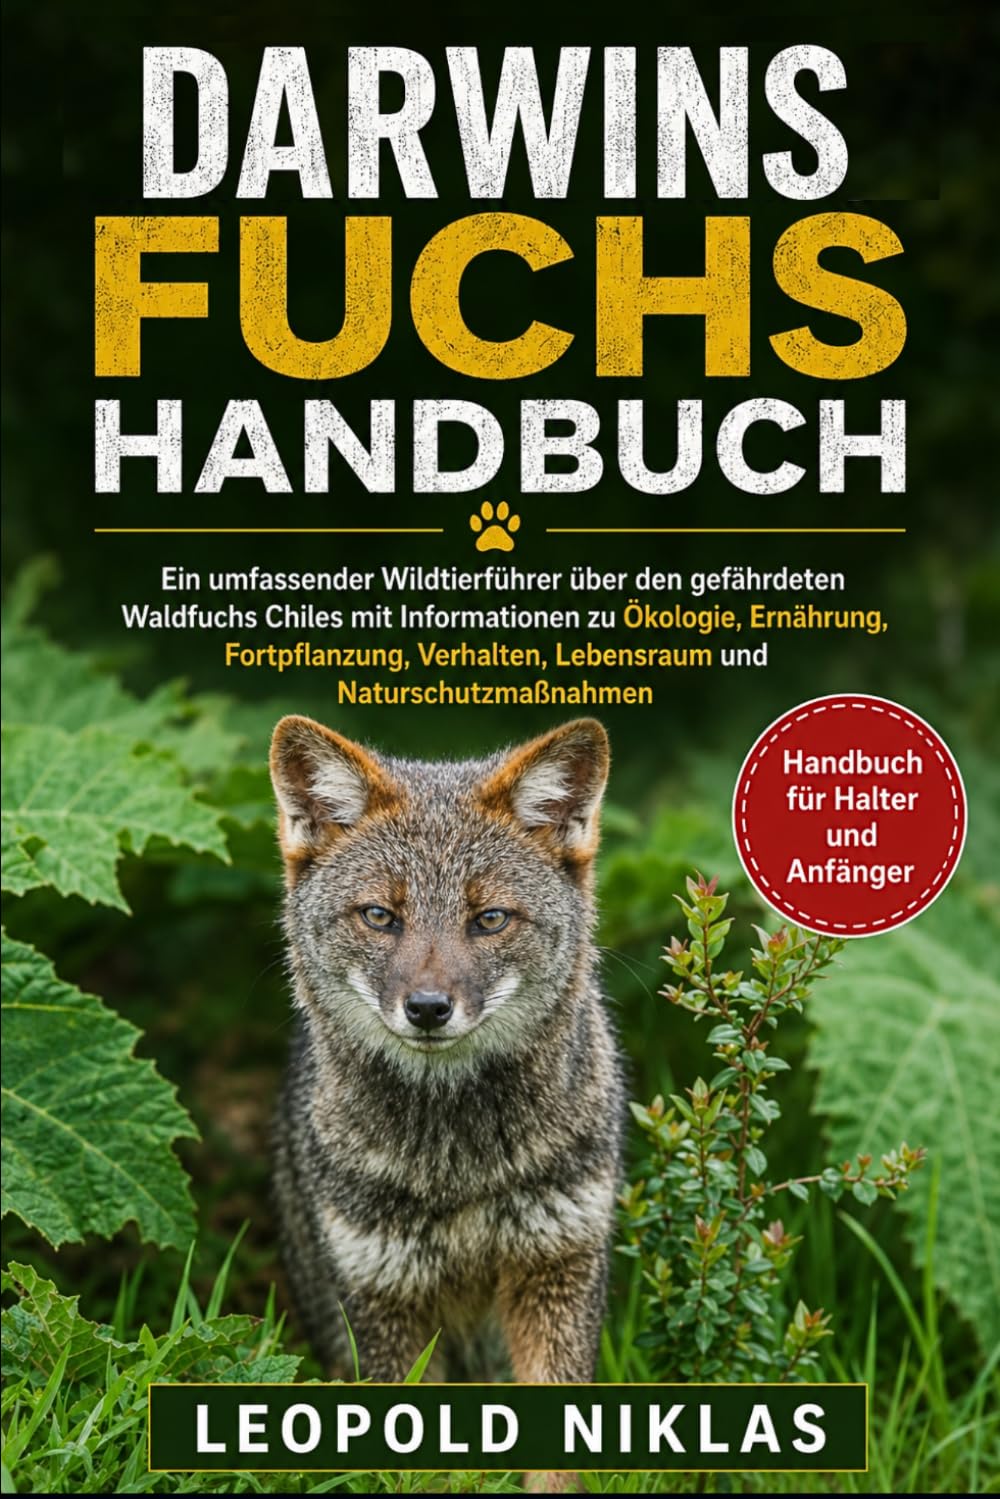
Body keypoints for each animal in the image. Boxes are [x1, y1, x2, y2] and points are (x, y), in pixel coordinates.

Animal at [269, 714, 624, 1389]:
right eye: (380, 916)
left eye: (490, 919)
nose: (428, 1008)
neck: (457, 1171)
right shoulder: (382, 1291)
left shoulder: (559, 1262)